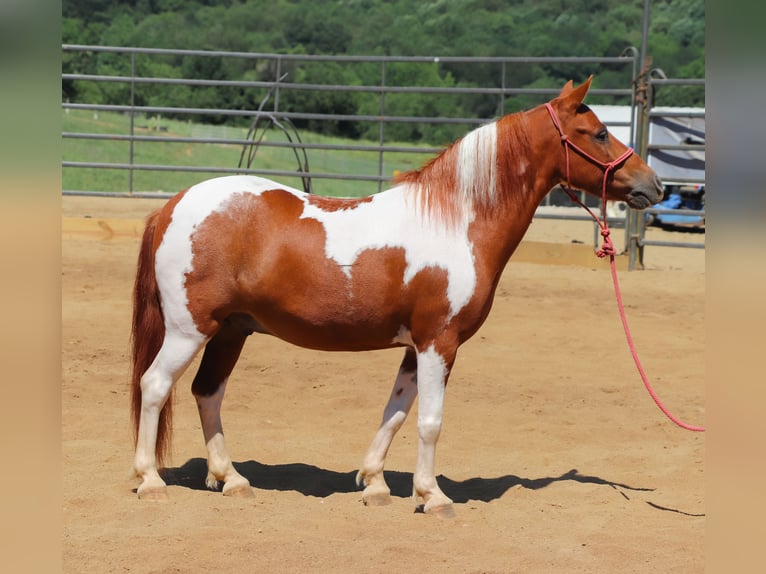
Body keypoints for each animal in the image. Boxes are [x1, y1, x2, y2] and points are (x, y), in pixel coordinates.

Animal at [130, 77, 663, 516]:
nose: (653, 186)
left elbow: (397, 413)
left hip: (231, 331)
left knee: (207, 392)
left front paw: (375, 484)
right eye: (598, 133)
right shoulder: (438, 342)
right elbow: (430, 420)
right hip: (189, 329)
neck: (457, 221)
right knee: (155, 385)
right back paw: (150, 481)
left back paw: (232, 479)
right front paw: (433, 496)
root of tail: (173, 205)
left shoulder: (415, 347)